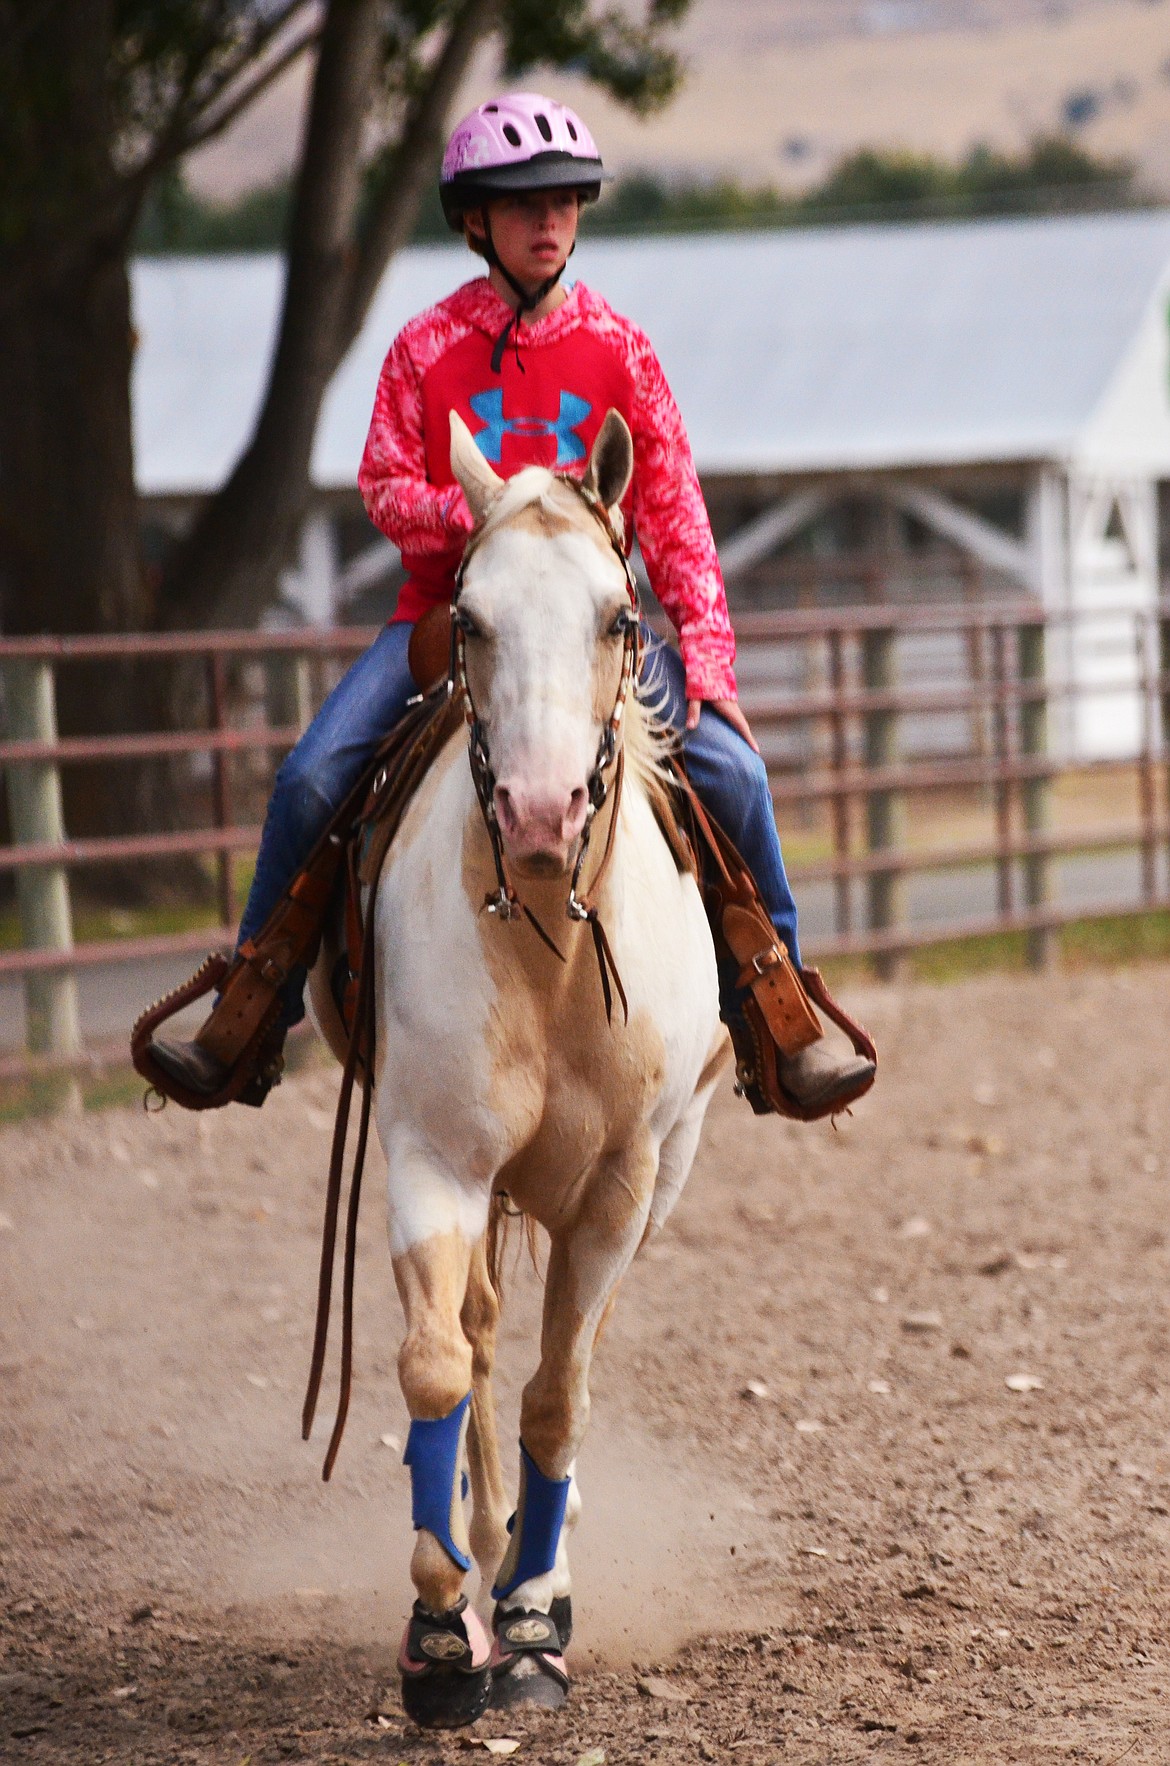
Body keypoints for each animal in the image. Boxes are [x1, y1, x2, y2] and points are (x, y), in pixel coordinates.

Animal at [310, 406, 734, 1730]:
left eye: (619, 617)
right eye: (472, 616)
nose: (543, 815)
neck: (545, 937)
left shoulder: (619, 1185)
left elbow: (563, 1390)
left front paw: (539, 1618)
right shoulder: (432, 1158)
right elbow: (441, 1363)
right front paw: (447, 1623)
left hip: (662, 1175)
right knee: (485, 1336)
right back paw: (487, 1536)